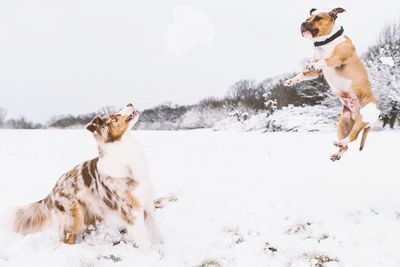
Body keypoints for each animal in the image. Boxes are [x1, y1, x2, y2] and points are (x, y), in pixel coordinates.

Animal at [13, 104, 162, 251]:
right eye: (114, 116)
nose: (130, 103)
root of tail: (52, 192)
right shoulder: (132, 211)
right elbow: (145, 241)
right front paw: (150, 254)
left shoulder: (148, 204)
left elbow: (156, 233)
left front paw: (161, 247)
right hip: (73, 219)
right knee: (67, 241)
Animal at [282, 6, 380, 161]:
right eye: (307, 18)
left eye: (318, 18)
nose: (303, 23)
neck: (325, 42)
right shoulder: (316, 72)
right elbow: (303, 74)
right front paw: (291, 80)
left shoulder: (338, 58)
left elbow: (326, 60)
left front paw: (312, 64)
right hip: (343, 124)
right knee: (347, 144)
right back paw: (337, 152)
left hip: (361, 118)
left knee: (353, 136)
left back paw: (341, 143)